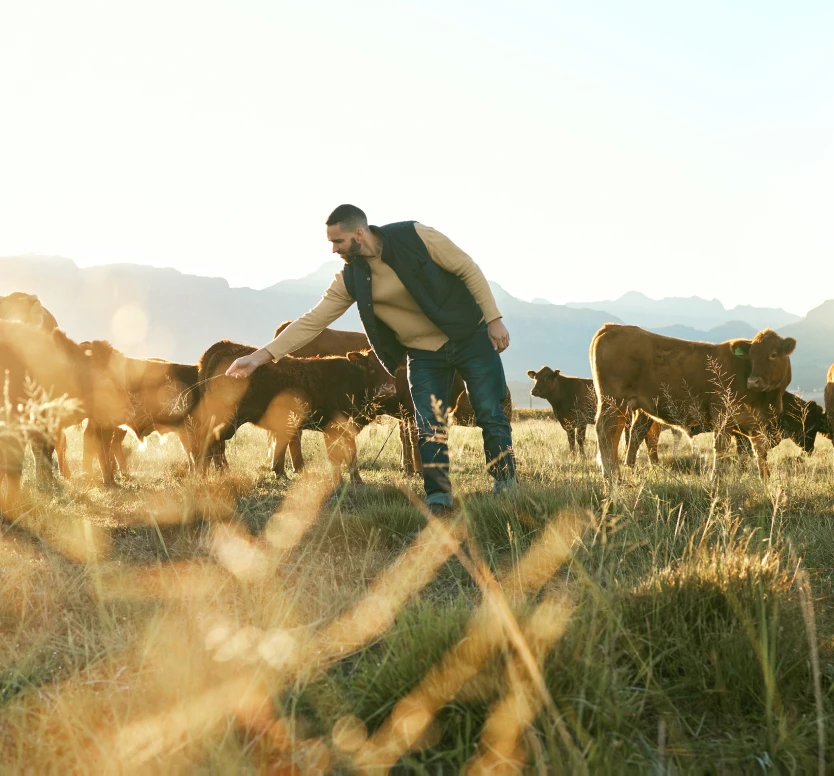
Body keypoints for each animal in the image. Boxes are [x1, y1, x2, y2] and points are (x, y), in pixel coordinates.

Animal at [193, 342, 394, 484]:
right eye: (371, 367)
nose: (388, 390)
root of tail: (223, 345)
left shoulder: (346, 427)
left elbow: (351, 453)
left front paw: (357, 481)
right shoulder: (333, 426)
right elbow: (337, 456)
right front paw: (339, 482)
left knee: (214, 446)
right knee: (209, 443)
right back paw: (207, 476)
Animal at [588, 322, 796, 478]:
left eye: (773, 354)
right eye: (752, 356)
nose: (753, 381)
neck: (766, 401)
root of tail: (610, 327)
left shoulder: (757, 424)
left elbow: (760, 452)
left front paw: (765, 480)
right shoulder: (721, 414)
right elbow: (721, 448)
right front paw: (716, 479)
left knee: (627, 435)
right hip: (613, 401)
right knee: (607, 433)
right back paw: (612, 476)